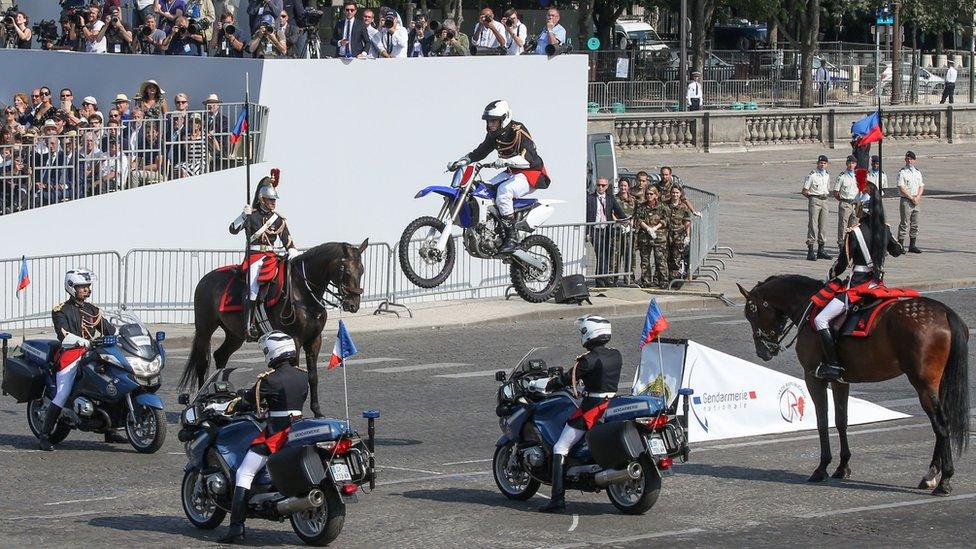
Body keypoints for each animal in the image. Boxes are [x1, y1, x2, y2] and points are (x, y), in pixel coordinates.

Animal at [179, 239, 370, 416]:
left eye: (361, 270)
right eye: (346, 271)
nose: (353, 305)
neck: (303, 292)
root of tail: (205, 279)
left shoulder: (314, 340)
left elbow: (313, 376)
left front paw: (317, 411)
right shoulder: (295, 340)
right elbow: (296, 372)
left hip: (235, 335)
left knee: (221, 356)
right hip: (204, 329)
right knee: (202, 363)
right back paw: (201, 399)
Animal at [740, 276, 968, 494]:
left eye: (751, 313)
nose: (763, 351)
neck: (810, 306)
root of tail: (945, 312)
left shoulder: (813, 378)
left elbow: (822, 421)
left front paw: (822, 468)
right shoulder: (840, 381)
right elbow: (841, 421)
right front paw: (842, 467)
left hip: (923, 384)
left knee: (941, 424)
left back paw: (944, 480)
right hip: (937, 384)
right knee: (941, 424)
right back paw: (931, 475)